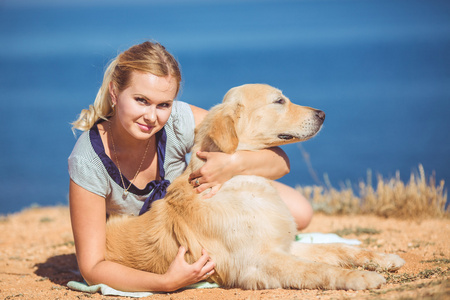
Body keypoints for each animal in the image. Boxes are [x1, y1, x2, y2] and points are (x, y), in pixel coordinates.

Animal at [105, 84, 404, 290]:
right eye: (279, 101)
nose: (322, 113)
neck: (241, 181)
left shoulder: (283, 246)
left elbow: (339, 249)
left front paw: (384, 258)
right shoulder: (258, 262)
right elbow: (318, 269)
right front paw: (361, 277)